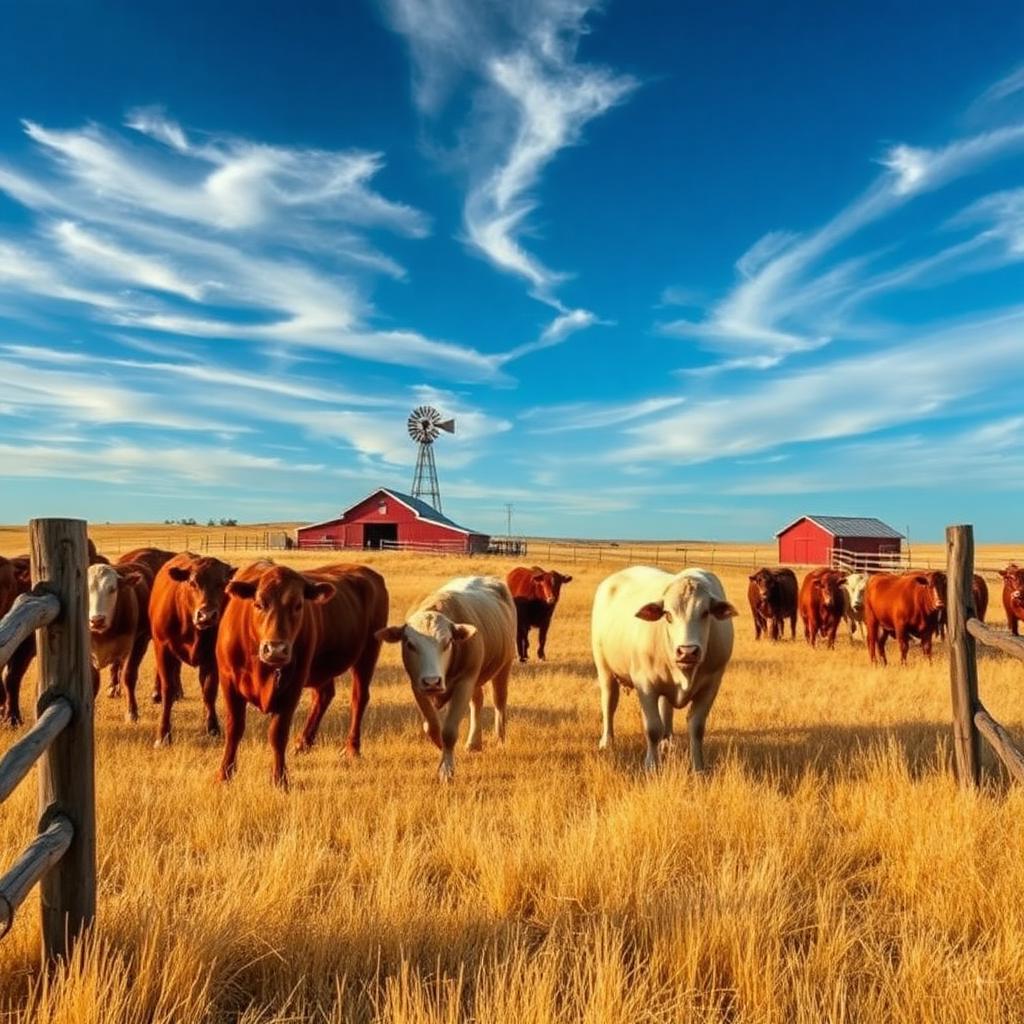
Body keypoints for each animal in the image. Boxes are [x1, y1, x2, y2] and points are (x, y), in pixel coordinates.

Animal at [87, 561, 153, 722]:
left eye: (112, 589)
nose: (97, 620)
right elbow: (93, 681)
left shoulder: (136, 645)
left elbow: (128, 676)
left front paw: (132, 712)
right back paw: (113, 688)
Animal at [149, 552, 236, 746]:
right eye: (192, 582)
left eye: (222, 583)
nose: (206, 615)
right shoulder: (163, 648)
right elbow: (167, 689)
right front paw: (163, 734)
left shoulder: (211, 658)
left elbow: (209, 691)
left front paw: (212, 728)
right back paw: (157, 693)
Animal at [216, 561, 388, 788]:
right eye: (259, 604)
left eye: (298, 605)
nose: (276, 649)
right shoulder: (228, 680)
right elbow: (234, 728)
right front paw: (224, 775)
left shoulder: (293, 685)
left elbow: (278, 734)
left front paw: (280, 779)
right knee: (324, 695)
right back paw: (303, 742)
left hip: (368, 653)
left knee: (359, 698)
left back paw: (352, 748)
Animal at [378, 576, 515, 782]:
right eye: (410, 644)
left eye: (448, 642)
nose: (432, 681)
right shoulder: (417, 685)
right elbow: (432, 727)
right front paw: (440, 746)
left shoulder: (464, 683)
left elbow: (449, 731)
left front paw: (446, 770)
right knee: (477, 701)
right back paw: (474, 743)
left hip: (503, 667)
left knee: (499, 701)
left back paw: (499, 739)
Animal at [592, 566, 737, 773]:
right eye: (667, 614)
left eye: (705, 612)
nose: (687, 651)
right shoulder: (645, 686)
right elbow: (652, 729)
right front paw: (651, 765)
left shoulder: (711, 686)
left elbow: (697, 728)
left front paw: (698, 767)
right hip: (604, 669)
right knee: (609, 704)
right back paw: (607, 741)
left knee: (666, 709)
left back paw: (667, 743)